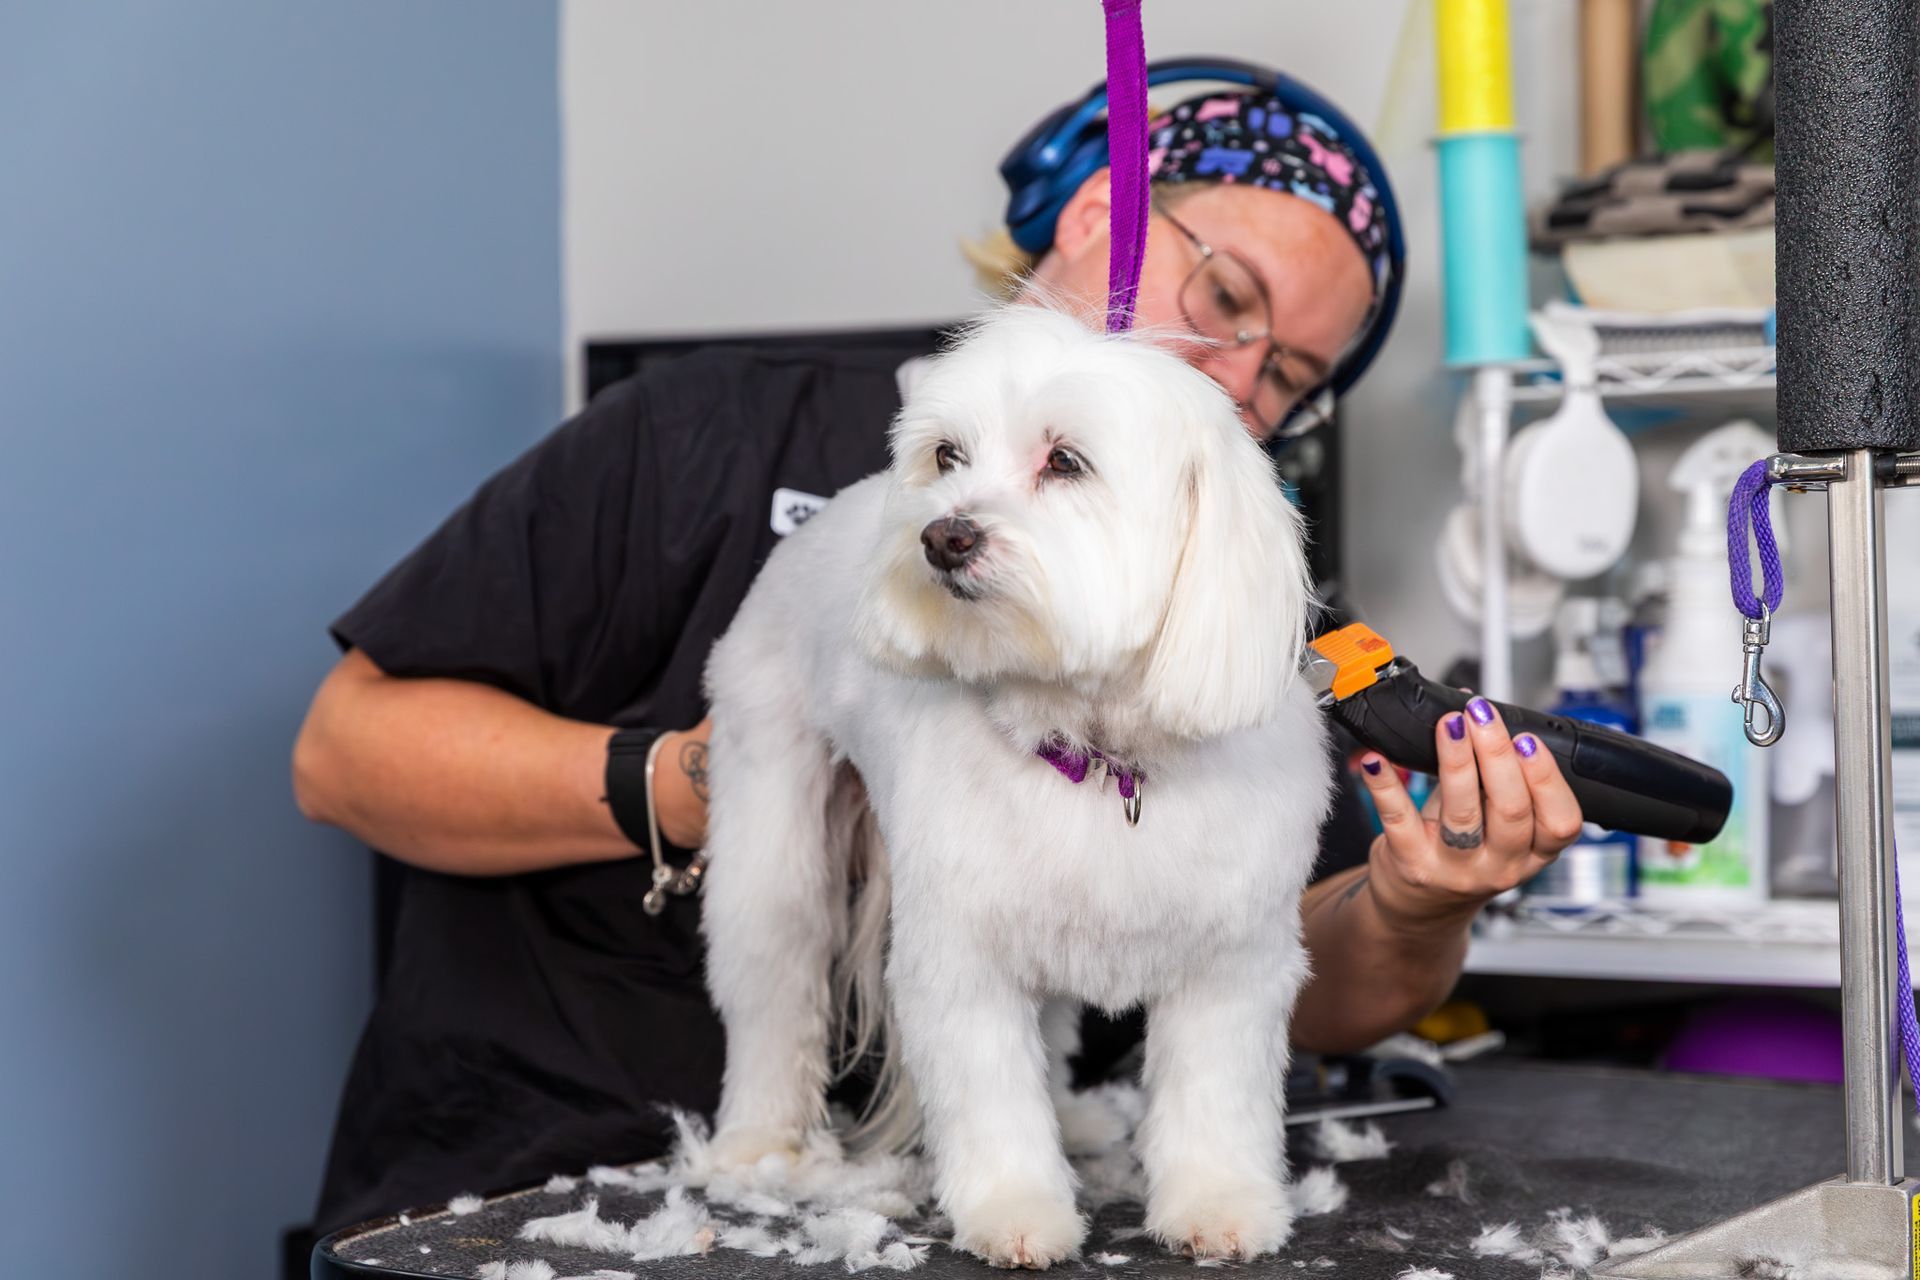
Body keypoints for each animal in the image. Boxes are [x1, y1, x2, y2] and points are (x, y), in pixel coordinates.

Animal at [699, 304, 1332, 1267]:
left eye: (1065, 461)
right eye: (947, 456)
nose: (943, 534)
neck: (1098, 751)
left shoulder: (1231, 960)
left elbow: (1214, 1097)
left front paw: (1219, 1206)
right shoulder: (960, 957)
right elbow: (989, 1094)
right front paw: (1017, 1212)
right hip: (771, 819)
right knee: (772, 976)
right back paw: (758, 1145)